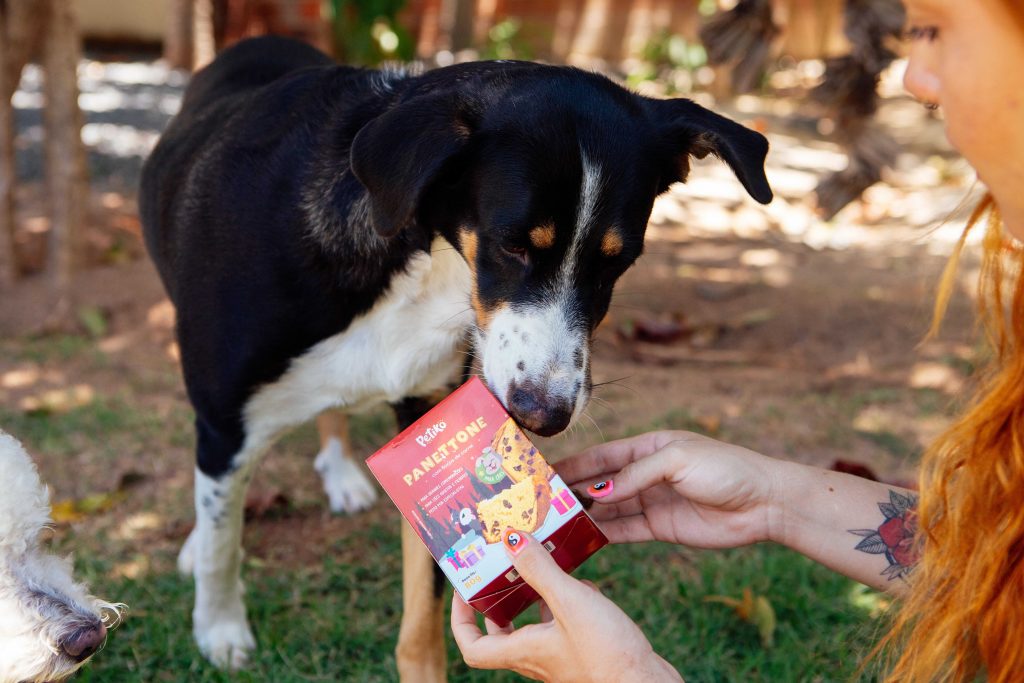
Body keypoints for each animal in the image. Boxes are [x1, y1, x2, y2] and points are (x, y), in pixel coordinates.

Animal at [140, 36, 770, 671]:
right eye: (511, 244)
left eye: (617, 262)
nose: (544, 415)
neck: (416, 257)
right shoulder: (224, 424)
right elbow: (222, 543)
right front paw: (220, 628)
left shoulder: (426, 412)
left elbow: (423, 608)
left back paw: (340, 470)